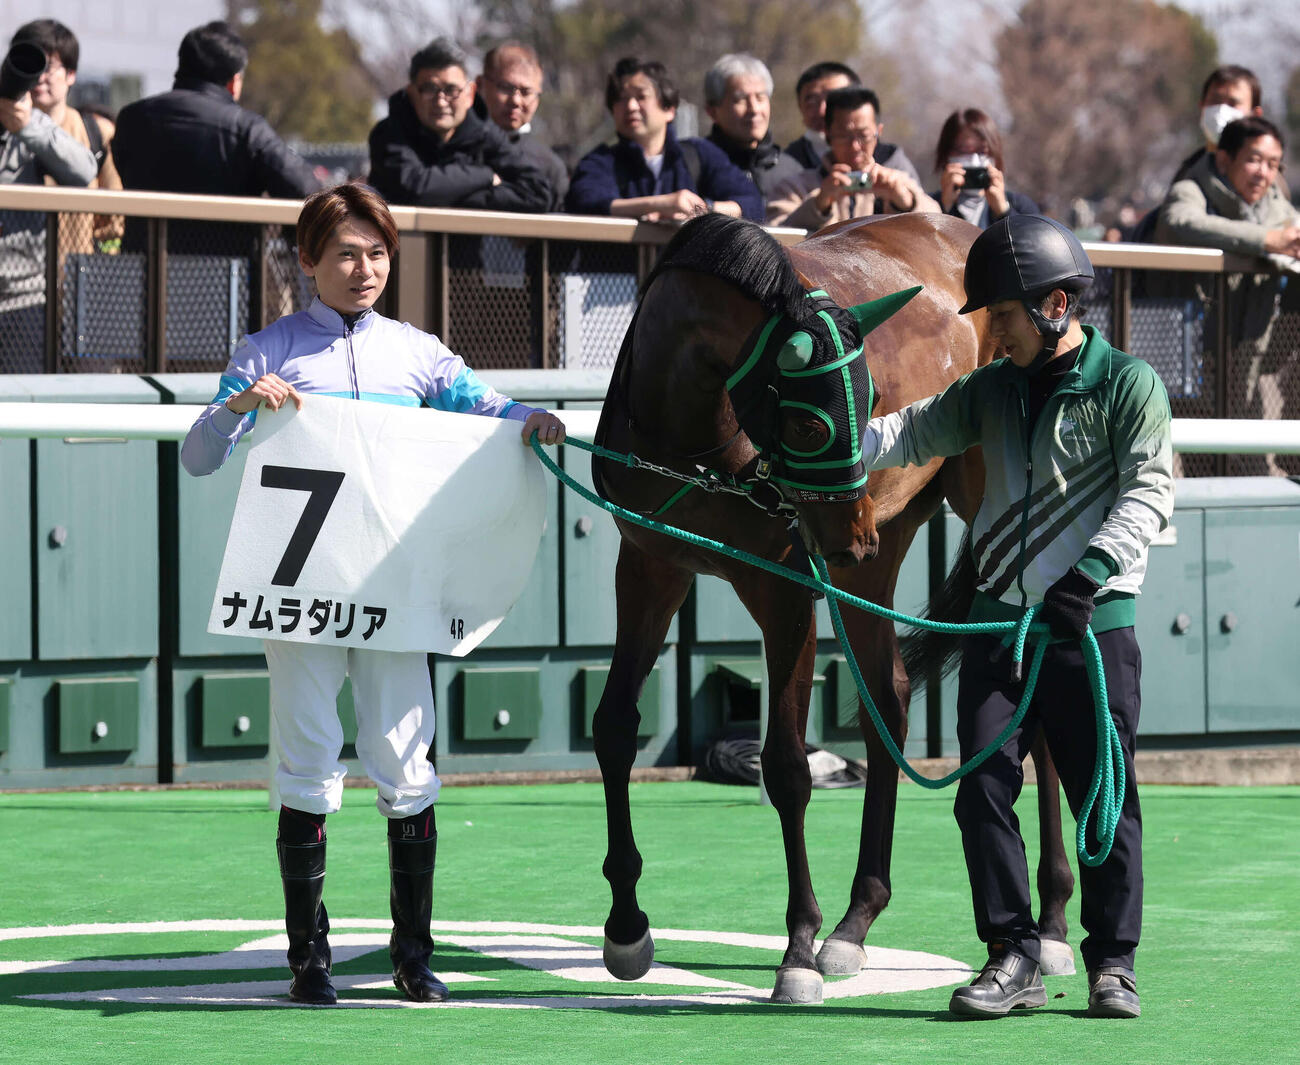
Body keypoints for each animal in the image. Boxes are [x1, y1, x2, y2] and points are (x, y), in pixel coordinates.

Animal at [589, 211, 1075, 1004]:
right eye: (812, 426)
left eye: (873, 398)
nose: (850, 535)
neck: (692, 432)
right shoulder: (650, 563)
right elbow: (613, 728)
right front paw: (627, 926)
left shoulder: (784, 585)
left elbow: (787, 765)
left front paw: (796, 946)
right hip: (878, 555)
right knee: (889, 699)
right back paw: (857, 920)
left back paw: (1057, 924)